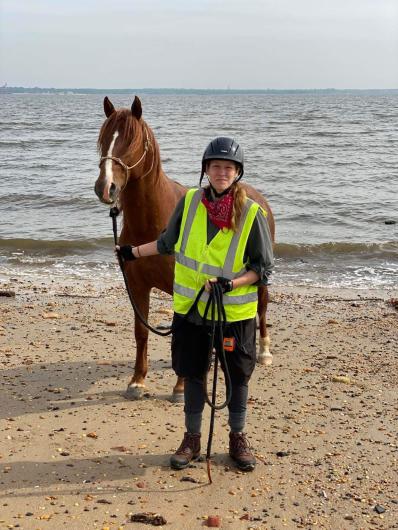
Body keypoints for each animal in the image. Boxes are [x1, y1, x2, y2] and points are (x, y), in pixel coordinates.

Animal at [94, 95, 274, 400]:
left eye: (132, 141)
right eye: (104, 139)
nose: (105, 188)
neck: (153, 221)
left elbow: (182, 332)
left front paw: (180, 387)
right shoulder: (137, 287)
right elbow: (141, 333)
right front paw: (137, 381)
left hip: (258, 278)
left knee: (261, 308)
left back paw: (264, 353)